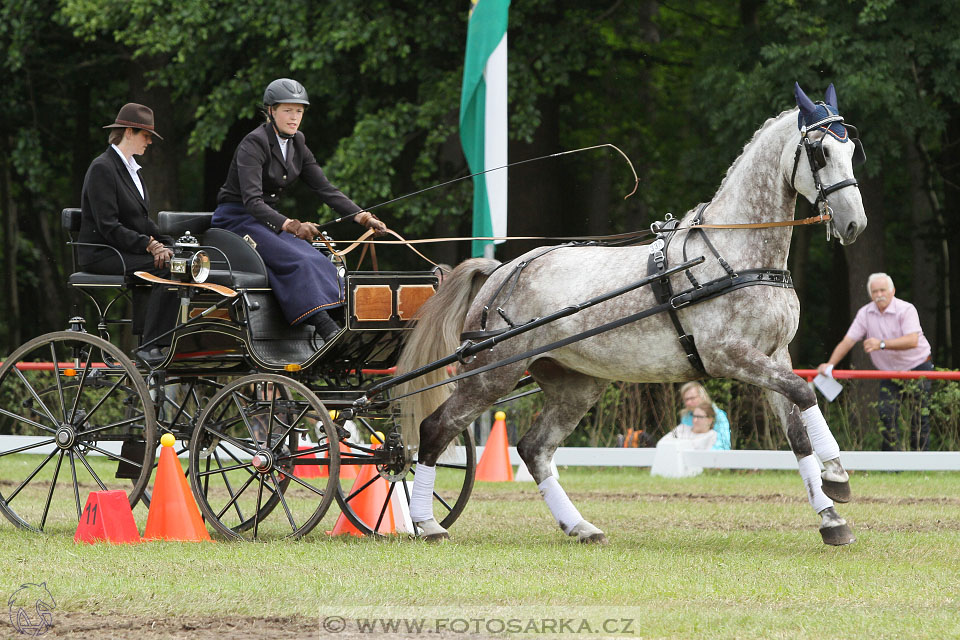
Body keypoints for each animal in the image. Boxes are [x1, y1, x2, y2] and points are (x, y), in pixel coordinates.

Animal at [400, 82, 872, 548]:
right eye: (820, 152)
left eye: (851, 150)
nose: (855, 225)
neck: (737, 255)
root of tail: (501, 269)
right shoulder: (730, 355)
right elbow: (806, 393)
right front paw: (837, 485)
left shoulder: (774, 356)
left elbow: (798, 428)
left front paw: (832, 508)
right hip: (492, 373)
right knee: (435, 428)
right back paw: (427, 523)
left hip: (575, 384)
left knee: (535, 448)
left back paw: (580, 526)